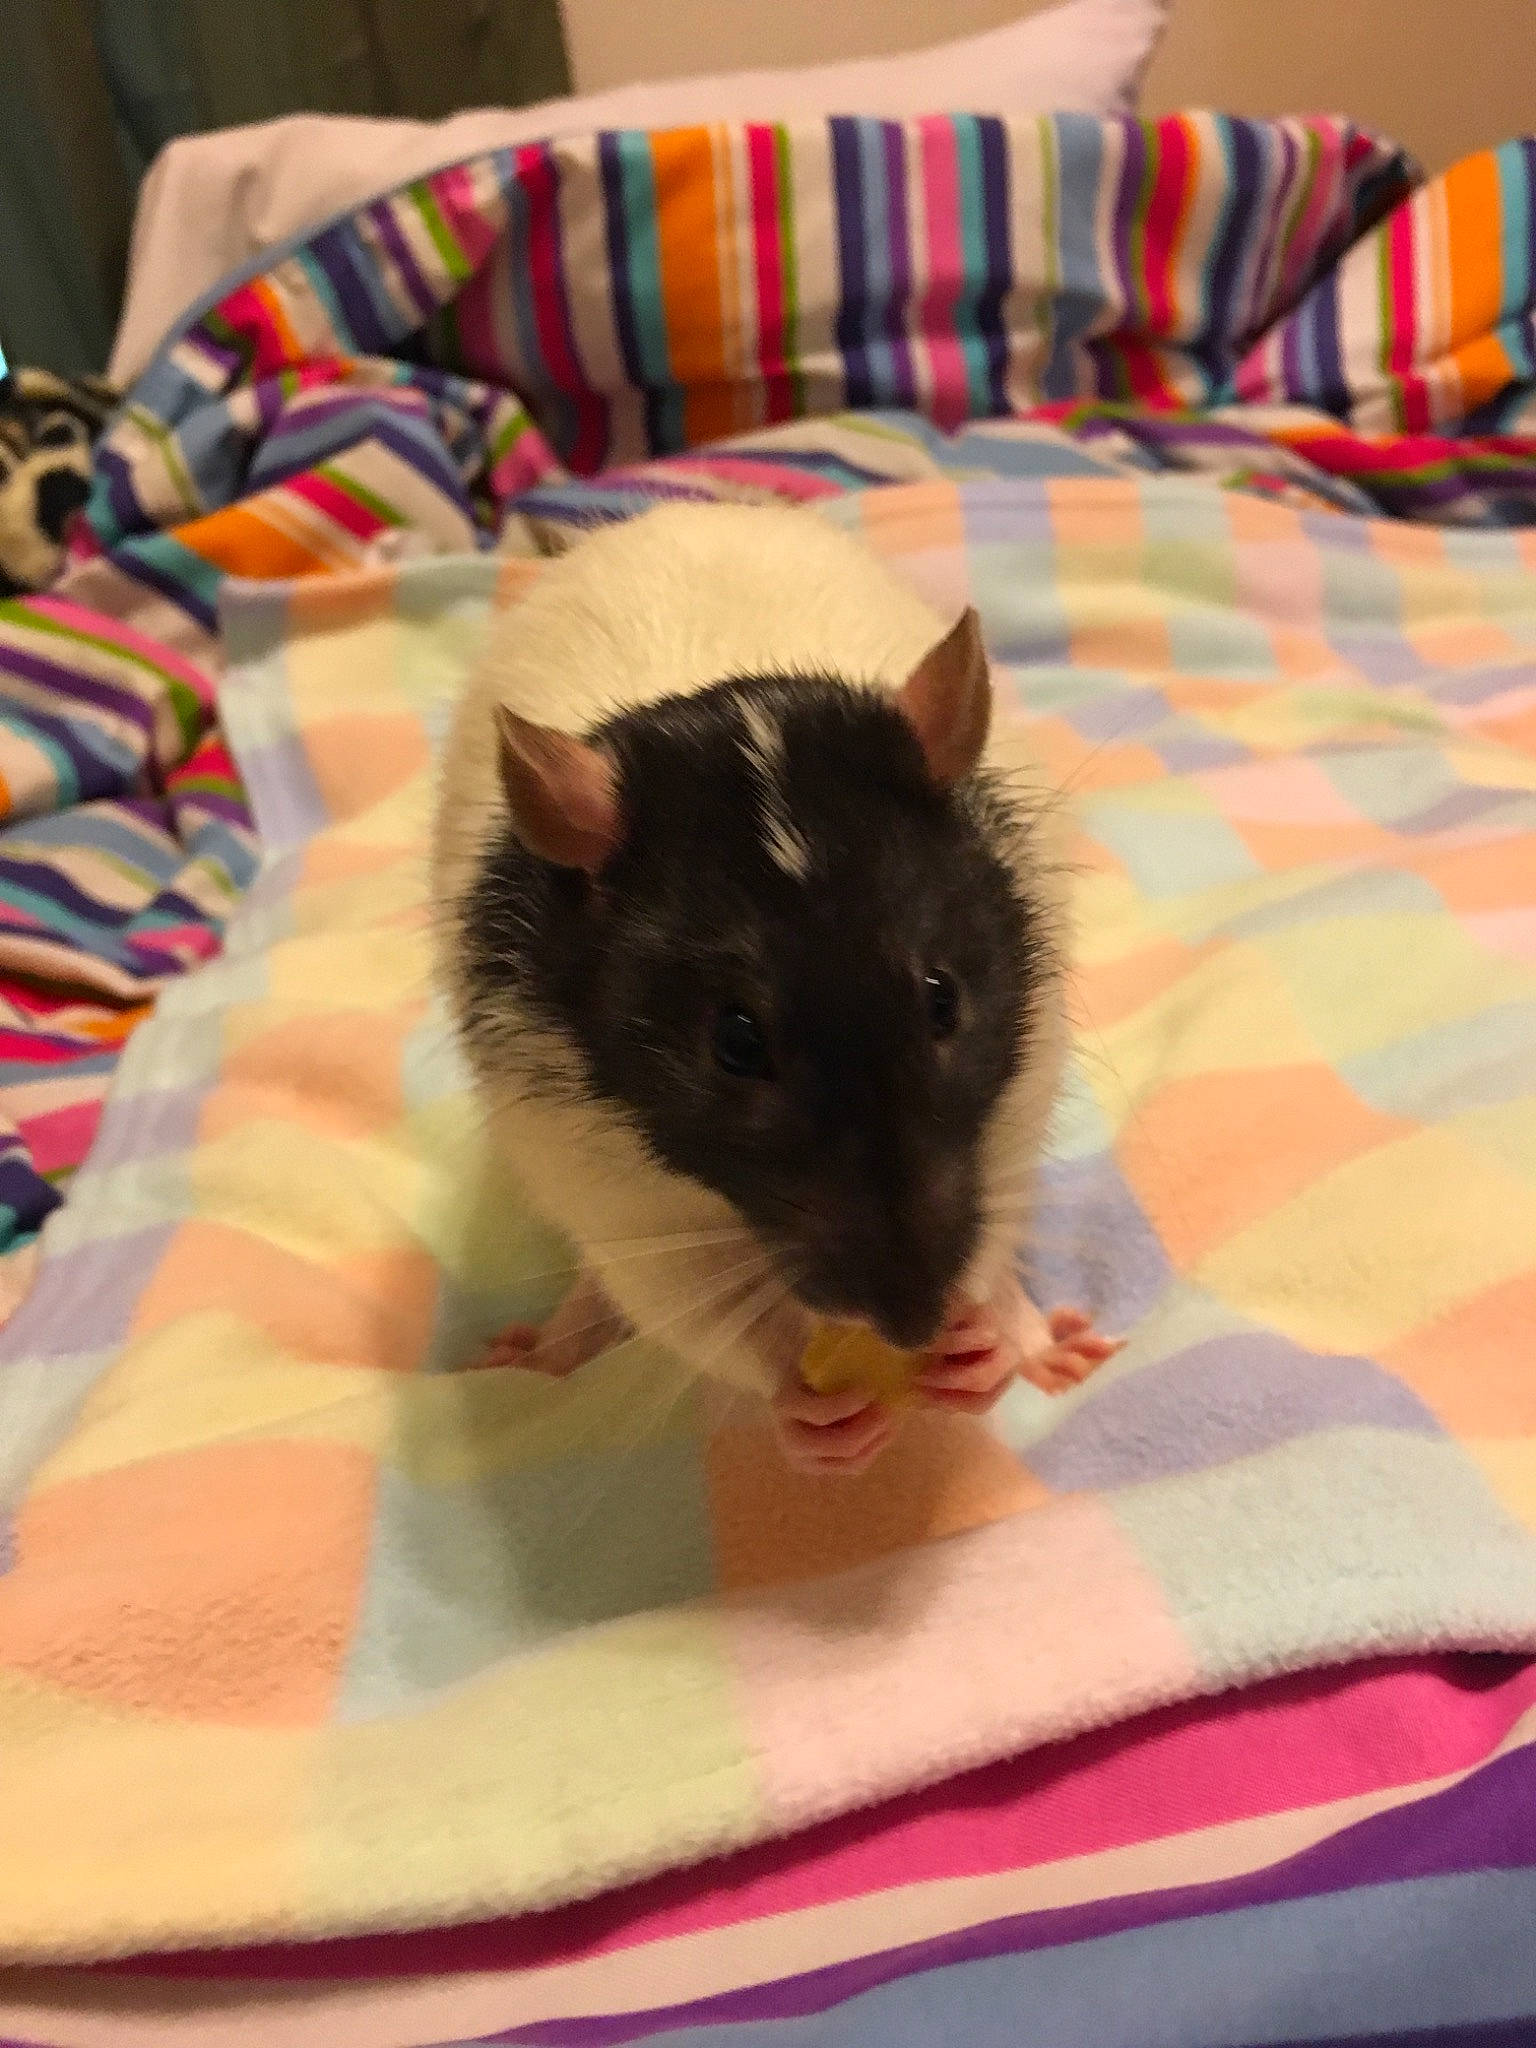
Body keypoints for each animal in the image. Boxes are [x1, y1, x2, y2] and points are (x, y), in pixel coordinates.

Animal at [432, 504, 1114, 1472]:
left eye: (942, 998)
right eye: (736, 1044)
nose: (915, 1325)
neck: (732, 705)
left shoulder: (1020, 1081)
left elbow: (997, 1203)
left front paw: (990, 1342)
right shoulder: (591, 1162)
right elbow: (672, 1287)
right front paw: (797, 1406)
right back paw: (561, 1343)